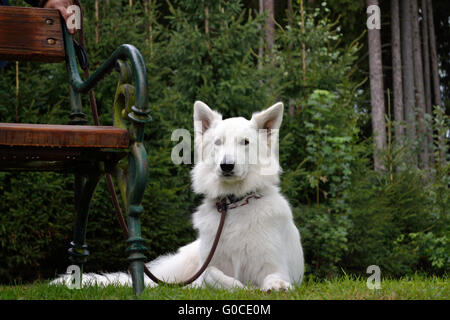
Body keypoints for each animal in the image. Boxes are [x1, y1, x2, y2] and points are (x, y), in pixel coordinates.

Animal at [53, 102, 306, 290]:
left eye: (245, 142)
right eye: (218, 142)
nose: (226, 166)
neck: (234, 204)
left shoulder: (275, 265)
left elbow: (274, 277)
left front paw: (274, 286)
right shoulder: (207, 267)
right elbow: (211, 275)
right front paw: (238, 286)